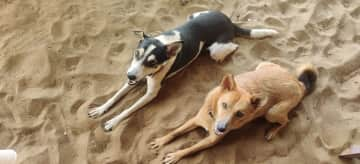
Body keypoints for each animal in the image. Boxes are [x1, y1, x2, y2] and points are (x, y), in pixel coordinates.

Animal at [87, 10, 278, 131]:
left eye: (152, 62)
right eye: (137, 53)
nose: (130, 75)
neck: (164, 45)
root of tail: (229, 21)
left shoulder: (151, 94)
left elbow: (128, 109)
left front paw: (113, 121)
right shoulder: (134, 77)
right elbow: (115, 96)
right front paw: (101, 109)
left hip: (216, 51)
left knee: (233, 46)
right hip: (194, 14)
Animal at [150, 61, 316, 164]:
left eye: (240, 114)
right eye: (224, 105)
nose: (221, 129)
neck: (212, 117)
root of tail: (298, 83)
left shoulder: (212, 140)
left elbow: (191, 149)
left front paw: (176, 155)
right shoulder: (195, 119)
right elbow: (175, 132)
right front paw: (162, 140)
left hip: (272, 112)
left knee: (286, 121)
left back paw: (272, 132)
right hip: (262, 65)